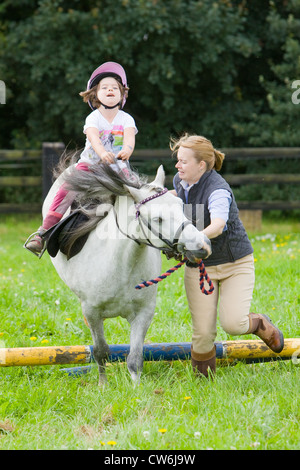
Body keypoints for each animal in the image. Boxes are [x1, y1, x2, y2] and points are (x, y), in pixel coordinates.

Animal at [42, 163, 211, 384]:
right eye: (158, 219)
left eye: (181, 206)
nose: (202, 245)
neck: (122, 265)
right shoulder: (92, 312)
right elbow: (101, 352)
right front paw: (103, 385)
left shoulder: (143, 313)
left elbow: (135, 358)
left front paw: (136, 388)